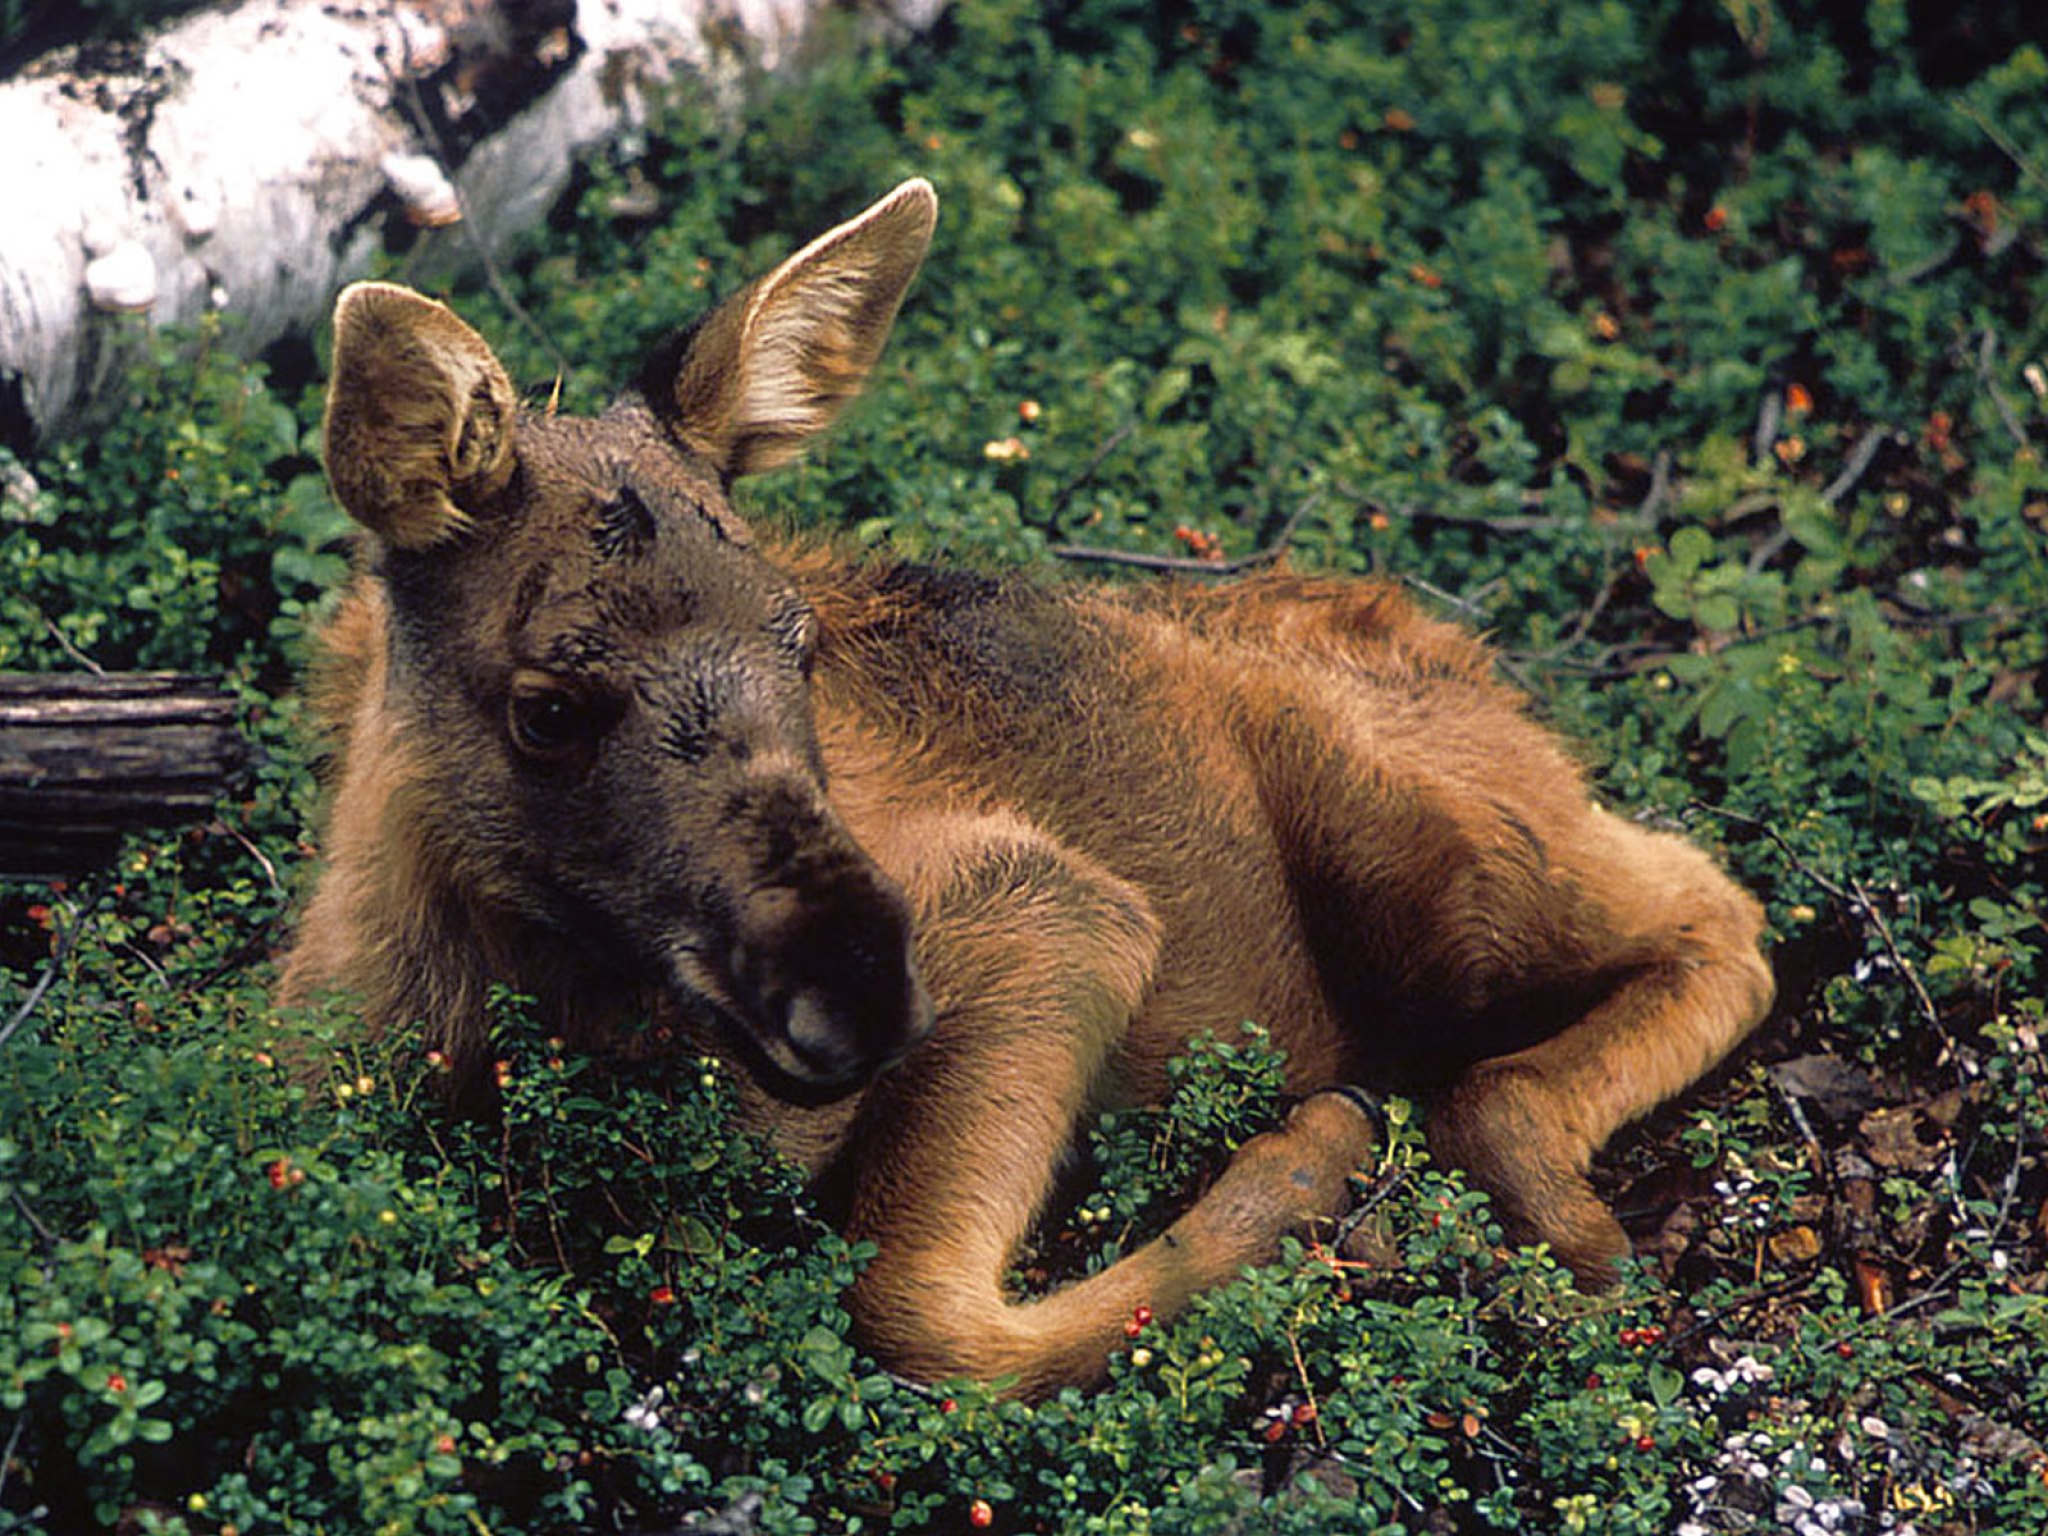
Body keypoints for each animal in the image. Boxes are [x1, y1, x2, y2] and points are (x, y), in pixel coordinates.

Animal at [280, 174, 1769, 1400]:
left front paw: (1306, 1165)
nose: (860, 986)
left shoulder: (1049, 909)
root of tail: (1470, 661)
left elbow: (918, 1314)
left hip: (1447, 871)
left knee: (1705, 919)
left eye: (799, 644)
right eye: (545, 707)